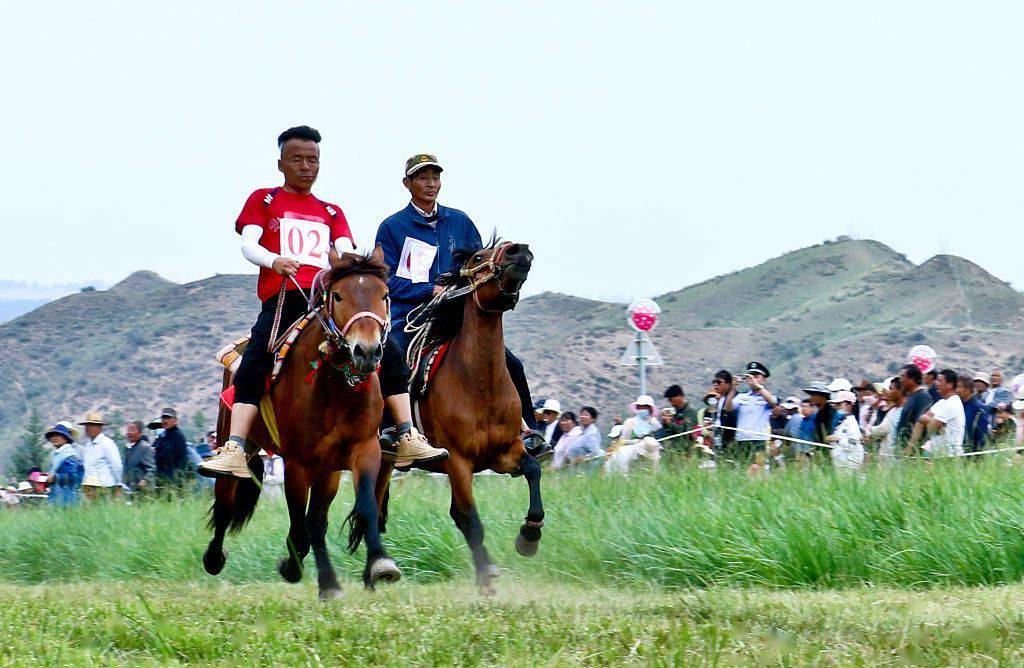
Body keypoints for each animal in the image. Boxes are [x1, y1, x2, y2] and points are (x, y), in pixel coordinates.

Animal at [203, 244, 399, 598]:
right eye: (338, 296)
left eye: (384, 295)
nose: (366, 352)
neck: (334, 390)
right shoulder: (296, 464)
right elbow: (299, 523)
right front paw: (296, 568)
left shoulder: (363, 451)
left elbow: (361, 507)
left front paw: (379, 564)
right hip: (235, 440)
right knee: (225, 500)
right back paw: (213, 558)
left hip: (327, 470)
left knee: (316, 520)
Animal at [395, 241, 548, 594]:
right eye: (478, 257)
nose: (519, 251)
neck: (480, 384)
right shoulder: (458, 461)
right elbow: (469, 518)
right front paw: (486, 578)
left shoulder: (504, 453)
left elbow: (533, 471)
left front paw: (529, 536)